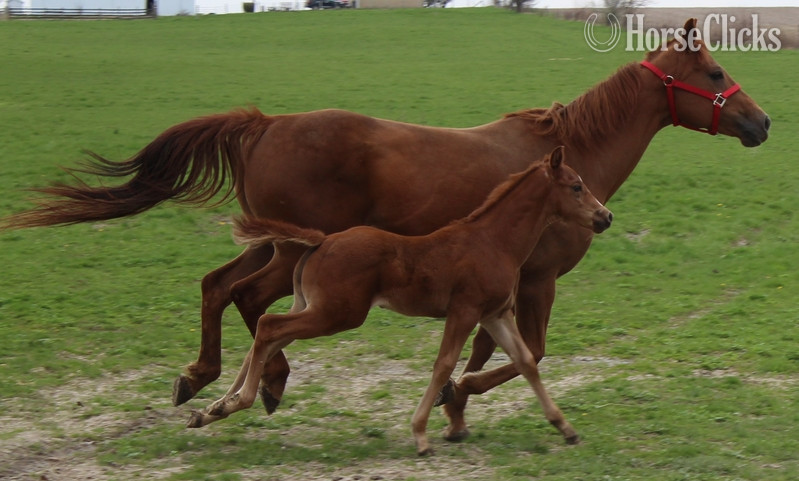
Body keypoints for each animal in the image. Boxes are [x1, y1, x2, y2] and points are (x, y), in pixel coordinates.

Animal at [187, 146, 613, 455]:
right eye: (576, 185)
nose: (605, 216)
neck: (493, 241)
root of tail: (321, 241)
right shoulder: (464, 310)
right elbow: (444, 365)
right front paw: (421, 434)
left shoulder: (496, 313)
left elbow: (526, 361)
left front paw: (566, 428)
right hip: (337, 314)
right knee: (268, 326)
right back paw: (232, 401)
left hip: (313, 307)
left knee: (268, 335)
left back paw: (215, 408)